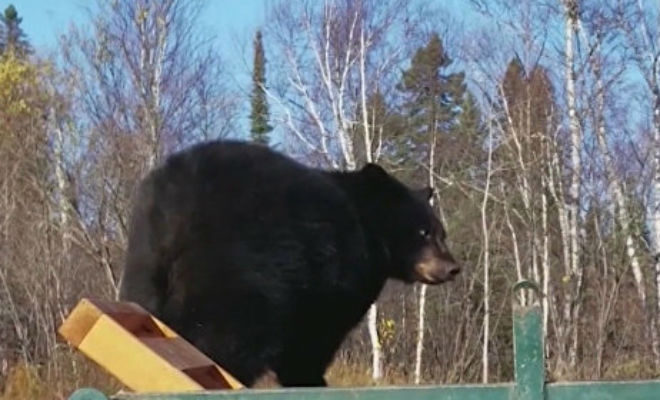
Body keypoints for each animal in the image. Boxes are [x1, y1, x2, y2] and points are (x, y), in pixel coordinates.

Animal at [118, 140, 458, 388]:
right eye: (423, 232)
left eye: (441, 232)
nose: (453, 267)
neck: (367, 230)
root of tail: (179, 201)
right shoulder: (336, 277)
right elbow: (318, 332)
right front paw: (311, 378)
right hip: (241, 270)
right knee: (227, 336)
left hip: (145, 262)